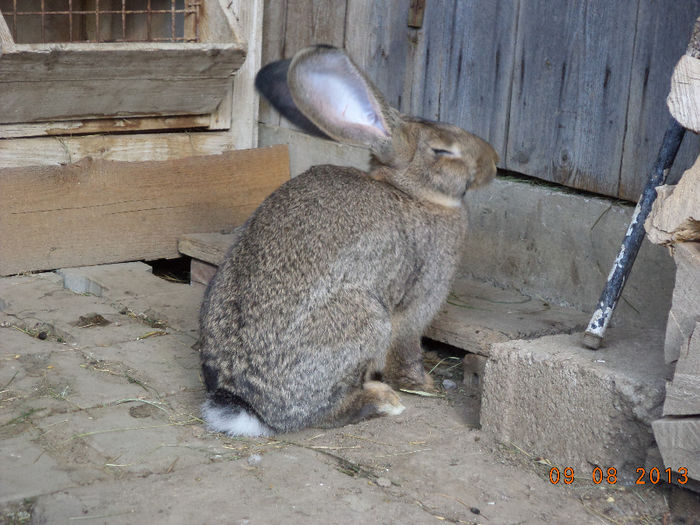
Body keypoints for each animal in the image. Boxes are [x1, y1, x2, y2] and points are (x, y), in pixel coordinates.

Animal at [197, 46, 498, 438]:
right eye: (443, 152)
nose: (493, 162)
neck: (411, 193)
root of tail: (248, 406)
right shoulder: (418, 303)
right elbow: (406, 351)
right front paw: (423, 384)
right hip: (368, 320)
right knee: (324, 413)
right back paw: (381, 401)